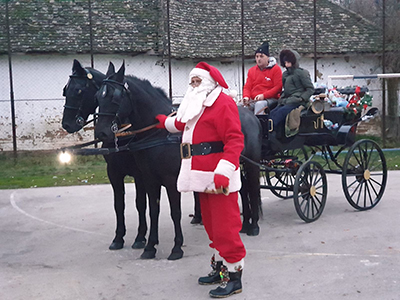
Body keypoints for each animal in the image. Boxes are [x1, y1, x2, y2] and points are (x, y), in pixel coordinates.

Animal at [62, 59, 148, 251]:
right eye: (65, 90)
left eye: (79, 91)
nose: (66, 124)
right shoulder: (113, 172)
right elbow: (119, 204)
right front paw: (118, 238)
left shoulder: (140, 174)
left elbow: (140, 203)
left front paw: (140, 237)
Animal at [94, 61, 262, 239]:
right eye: (98, 96)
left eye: (115, 97)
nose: (101, 133)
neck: (160, 134)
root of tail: (251, 115)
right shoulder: (147, 177)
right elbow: (153, 210)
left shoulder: (170, 179)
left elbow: (174, 211)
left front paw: (176, 244)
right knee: (242, 188)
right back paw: (244, 224)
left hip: (251, 164)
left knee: (252, 188)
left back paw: (254, 225)